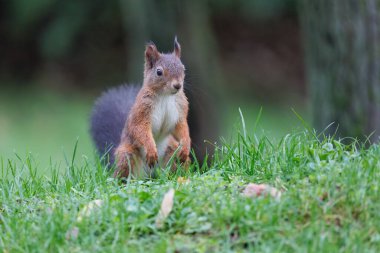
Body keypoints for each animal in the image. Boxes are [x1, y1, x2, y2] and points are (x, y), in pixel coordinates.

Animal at [89, 38, 190, 178]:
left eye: (183, 69)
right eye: (159, 72)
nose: (177, 85)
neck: (165, 96)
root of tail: (150, 175)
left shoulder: (180, 109)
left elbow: (182, 127)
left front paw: (186, 146)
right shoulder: (142, 111)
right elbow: (140, 129)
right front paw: (151, 150)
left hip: (172, 150)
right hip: (127, 154)